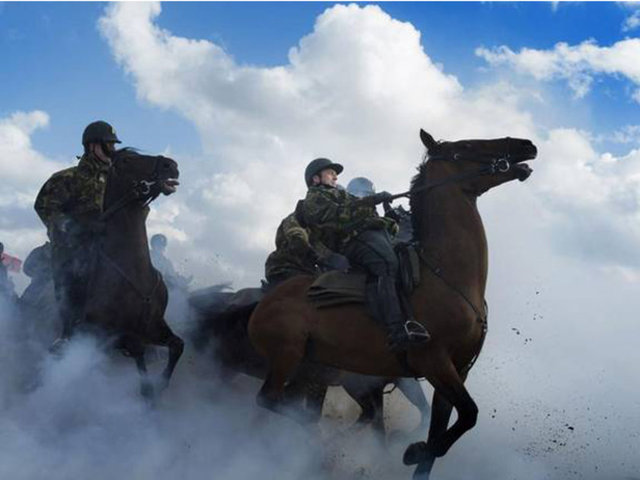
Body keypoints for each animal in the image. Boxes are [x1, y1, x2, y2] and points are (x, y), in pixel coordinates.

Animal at [248, 129, 536, 478]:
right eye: (465, 147)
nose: (526, 145)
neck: (444, 274)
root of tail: (266, 299)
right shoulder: (435, 362)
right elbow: (468, 415)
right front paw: (412, 450)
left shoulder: (456, 372)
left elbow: (441, 433)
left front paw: (420, 452)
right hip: (288, 356)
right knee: (270, 401)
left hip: (313, 368)